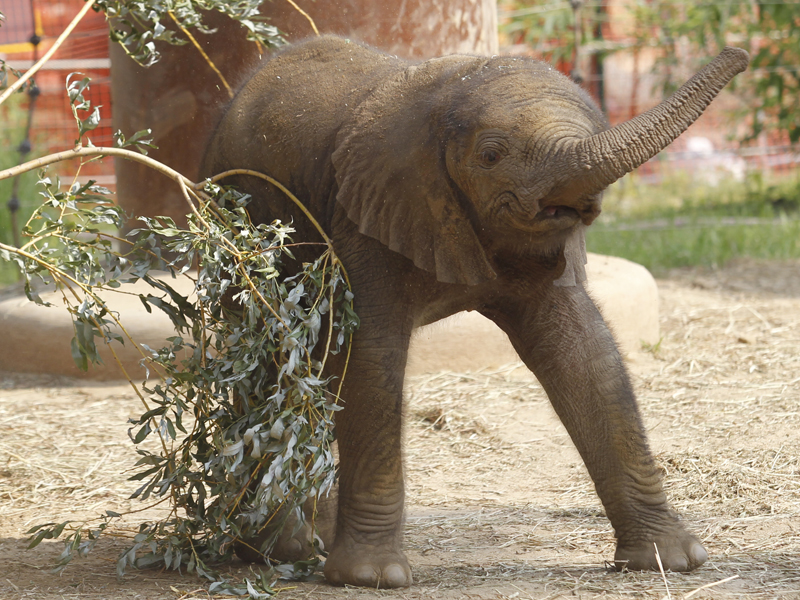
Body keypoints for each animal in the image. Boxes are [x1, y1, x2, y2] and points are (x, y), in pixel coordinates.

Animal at [202, 35, 752, 588]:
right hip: (235, 227)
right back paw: (276, 548)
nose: (741, 53)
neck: (450, 93)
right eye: (491, 156)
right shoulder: (366, 215)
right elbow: (371, 359)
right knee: (271, 358)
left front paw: (671, 561)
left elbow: (584, 354)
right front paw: (372, 577)